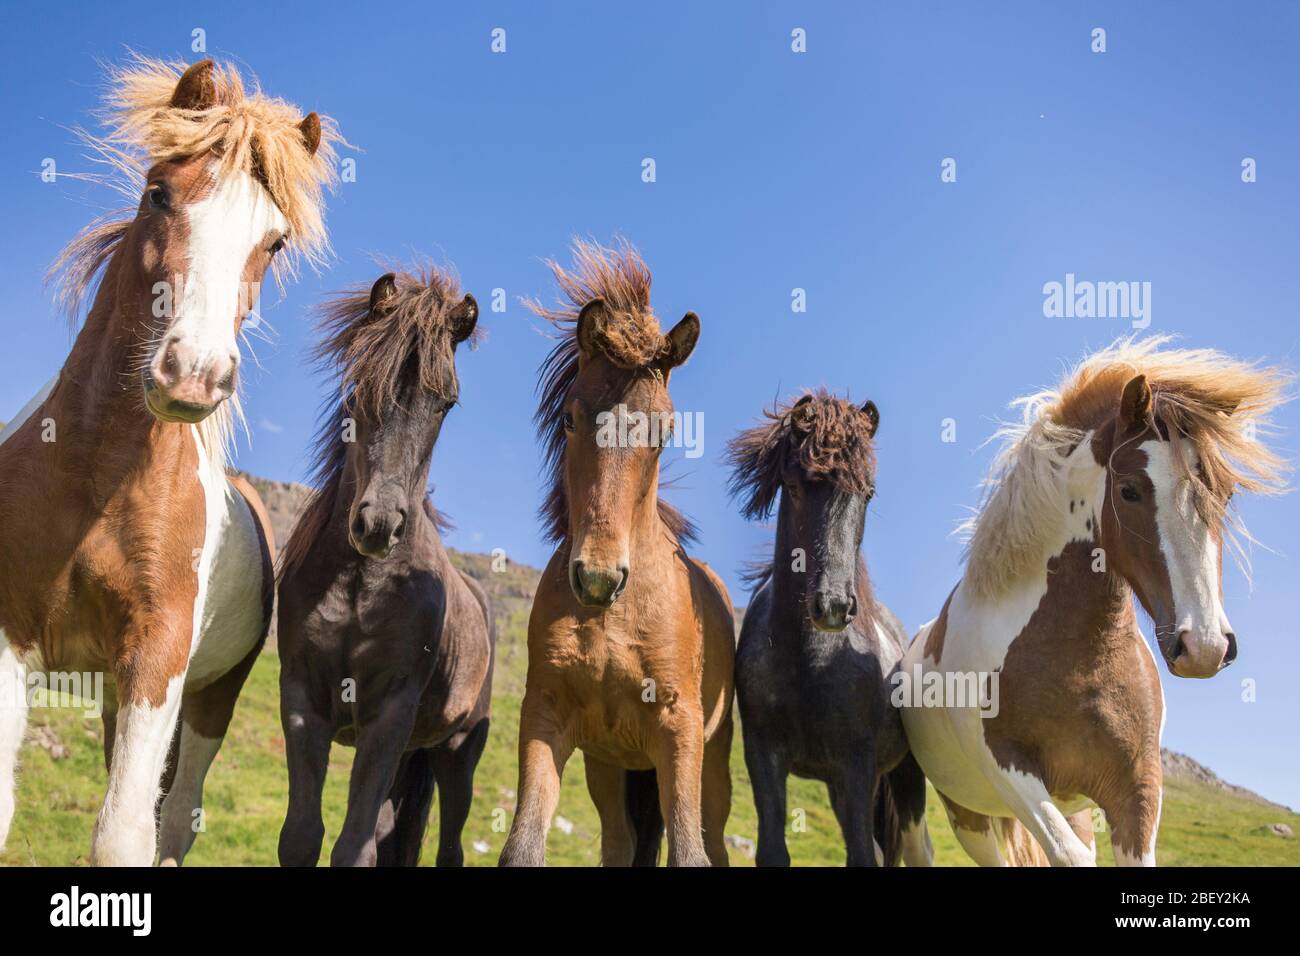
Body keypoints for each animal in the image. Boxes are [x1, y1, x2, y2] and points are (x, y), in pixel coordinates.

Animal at [0, 57, 339, 866]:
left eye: (274, 243)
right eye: (159, 191)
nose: (194, 375)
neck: (93, 472)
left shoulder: (157, 660)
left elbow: (126, 835)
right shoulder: (9, 642)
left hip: (208, 697)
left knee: (176, 815)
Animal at [276, 266, 494, 867]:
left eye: (446, 404)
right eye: (358, 385)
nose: (378, 524)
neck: (363, 588)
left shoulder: (389, 718)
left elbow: (354, 848)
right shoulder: (303, 703)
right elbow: (302, 835)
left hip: (457, 753)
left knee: (448, 847)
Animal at [499, 240, 735, 867]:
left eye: (665, 431)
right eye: (569, 416)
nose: (598, 578)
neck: (616, 616)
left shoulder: (679, 730)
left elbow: (691, 852)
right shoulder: (546, 717)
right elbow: (523, 845)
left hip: (713, 762)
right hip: (608, 767)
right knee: (620, 841)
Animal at [726, 390, 933, 867]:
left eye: (868, 493)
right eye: (796, 486)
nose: (835, 605)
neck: (810, 659)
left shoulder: (855, 763)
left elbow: (861, 856)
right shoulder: (763, 754)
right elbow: (773, 849)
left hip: (905, 778)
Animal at [901, 337, 1290, 866]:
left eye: (1226, 495)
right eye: (1128, 491)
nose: (1205, 647)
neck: (1080, 658)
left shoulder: (1137, 788)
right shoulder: (1010, 771)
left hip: (1075, 812)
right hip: (970, 817)